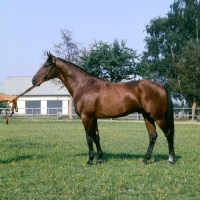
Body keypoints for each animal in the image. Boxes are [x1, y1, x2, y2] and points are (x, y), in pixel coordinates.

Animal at [32, 52, 174, 165]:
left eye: (46, 65)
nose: (34, 80)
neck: (84, 86)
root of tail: (161, 86)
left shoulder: (86, 117)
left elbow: (89, 138)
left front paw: (90, 160)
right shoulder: (93, 118)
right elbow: (96, 137)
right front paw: (100, 159)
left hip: (158, 117)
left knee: (168, 134)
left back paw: (170, 159)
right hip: (147, 116)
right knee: (152, 136)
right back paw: (145, 160)